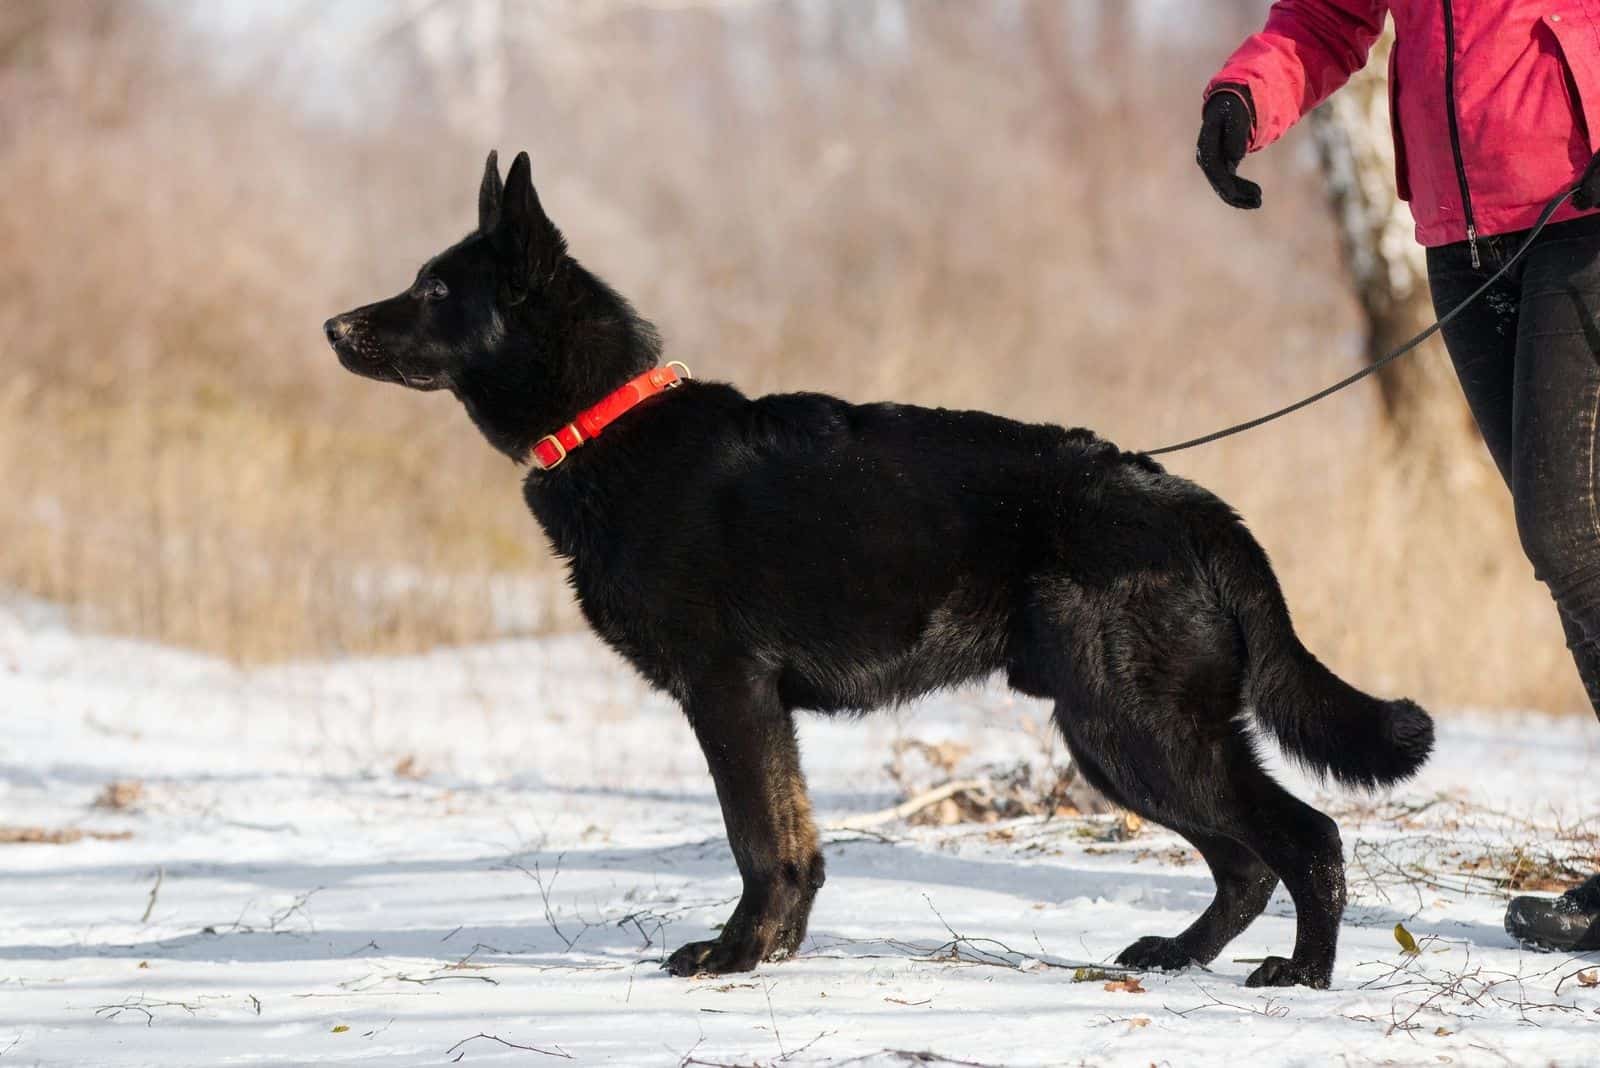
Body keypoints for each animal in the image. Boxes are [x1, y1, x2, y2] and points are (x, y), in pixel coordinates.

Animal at [324, 150, 1440, 991]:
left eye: (433, 290)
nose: (333, 325)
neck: (612, 425)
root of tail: (1196, 507)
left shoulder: (728, 695)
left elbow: (757, 840)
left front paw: (733, 957)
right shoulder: (759, 710)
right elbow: (795, 844)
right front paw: (772, 954)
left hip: (1138, 728)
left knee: (1306, 838)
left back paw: (1304, 974)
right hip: (1113, 740)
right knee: (1246, 861)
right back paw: (1178, 955)